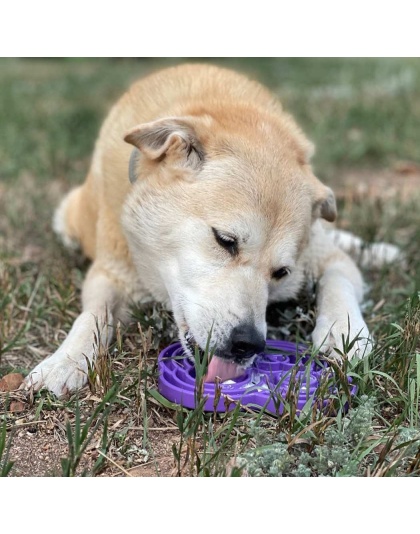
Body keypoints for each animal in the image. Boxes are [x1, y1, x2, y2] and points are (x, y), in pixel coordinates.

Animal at [23, 62, 400, 398]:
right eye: (225, 240)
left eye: (281, 272)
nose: (248, 343)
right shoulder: (110, 274)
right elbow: (92, 315)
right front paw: (65, 360)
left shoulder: (319, 262)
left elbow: (339, 279)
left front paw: (344, 332)